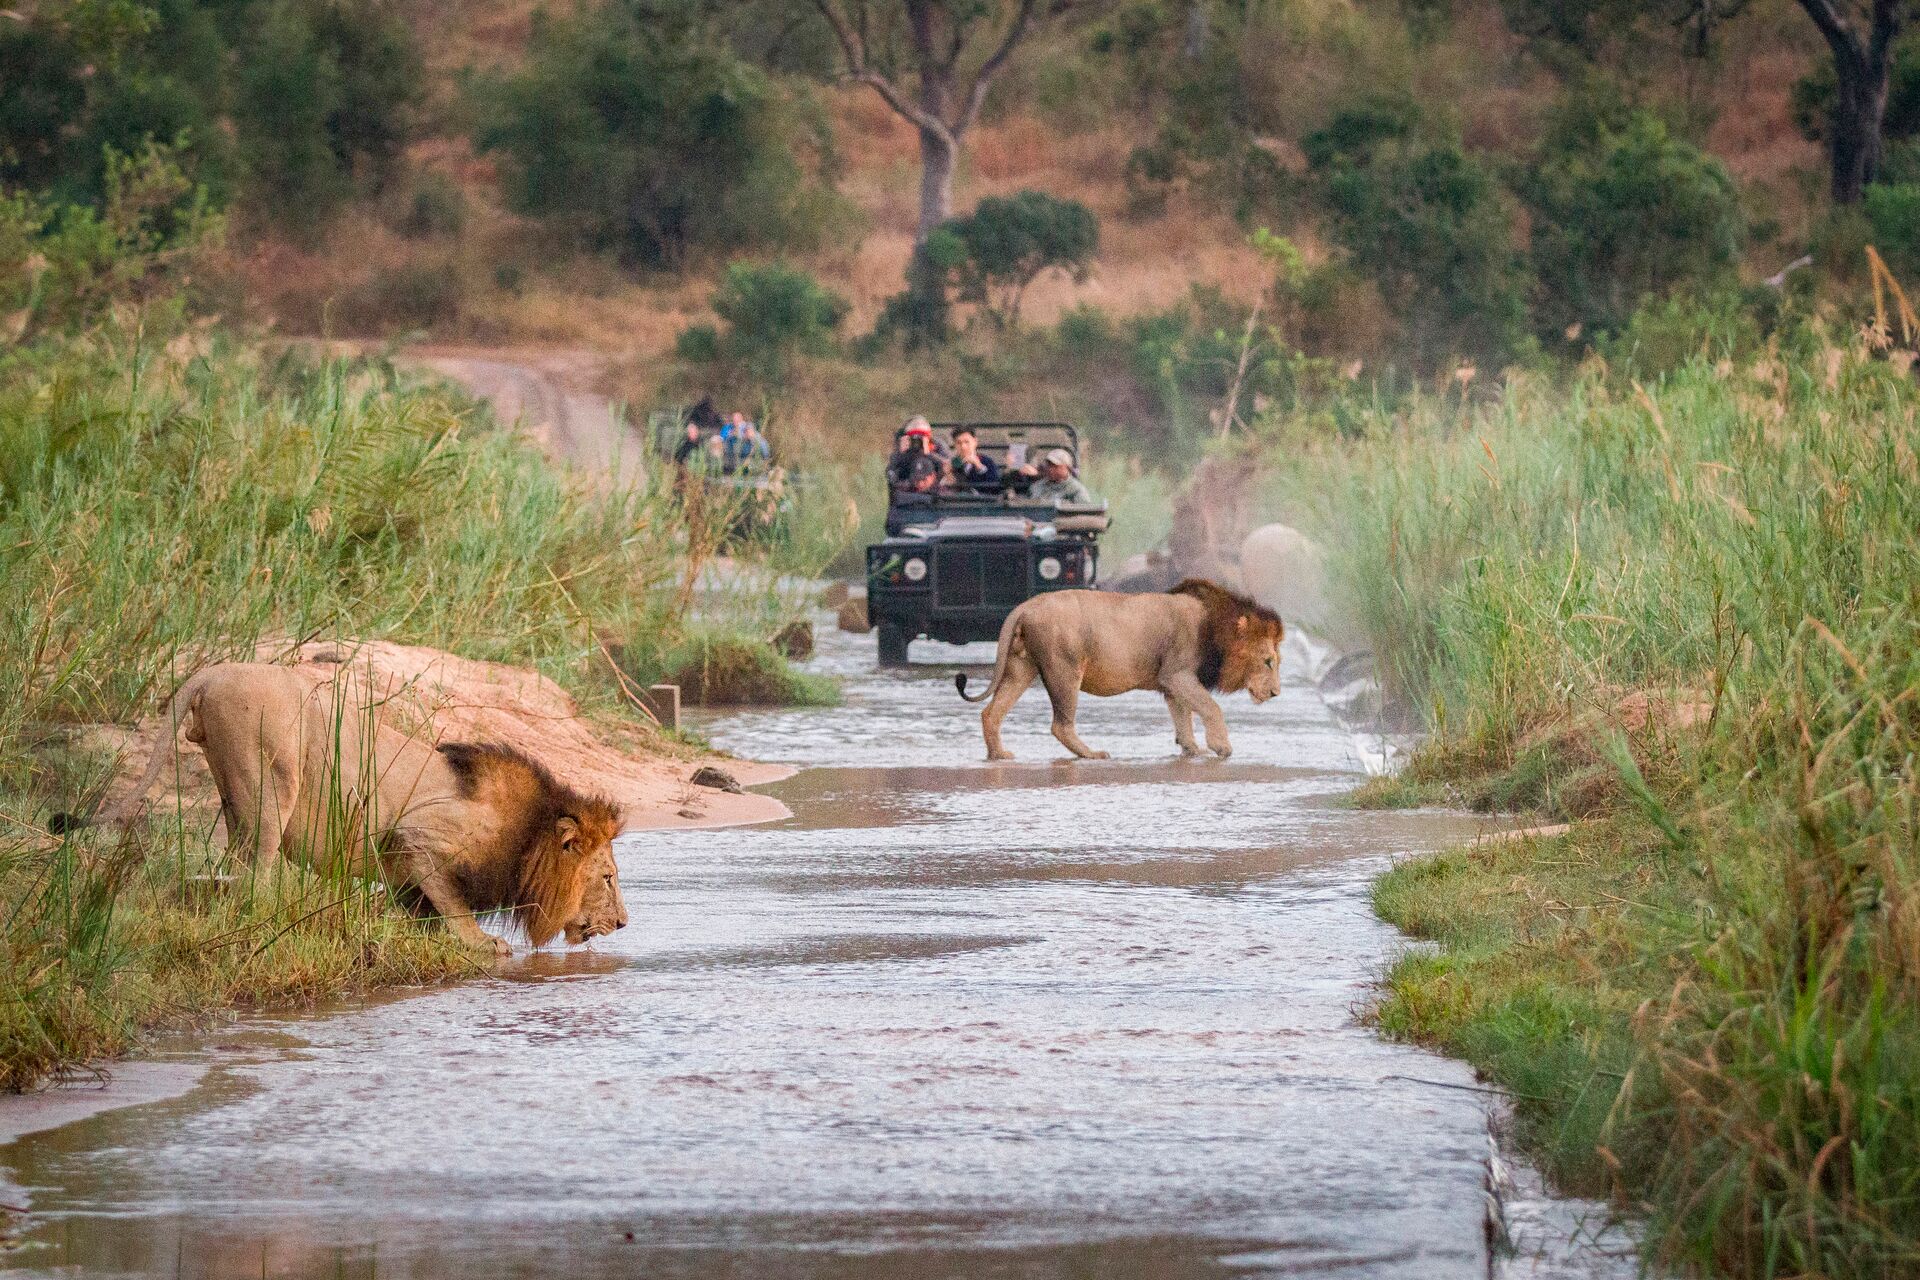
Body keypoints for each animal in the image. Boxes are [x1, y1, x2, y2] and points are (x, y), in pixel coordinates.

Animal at [70, 662, 626, 957]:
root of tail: (214, 672)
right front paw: (482, 944)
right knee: (256, 877)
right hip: (272, 780)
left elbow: (413, 905)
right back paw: (278, 922)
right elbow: (454, 905)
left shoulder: (408, 871)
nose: (623, 924)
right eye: (608, 878)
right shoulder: (419, 836)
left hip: (236, 793)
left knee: (233, 868)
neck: (528, 836)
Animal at [956, 580, 1283, 761]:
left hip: (1021, 667)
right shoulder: (1177, 674)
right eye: (1268, 661)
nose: (1276, 693)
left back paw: (998, 755)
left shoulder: (1172, 683)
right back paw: (1092, 754)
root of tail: (1023, 607)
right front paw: (1221, 747)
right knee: (1060, 724)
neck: (1216, 627)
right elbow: (1211, 707)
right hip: (1064, 668)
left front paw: (1192, 750)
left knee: (991, 712)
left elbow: (1183, 718)